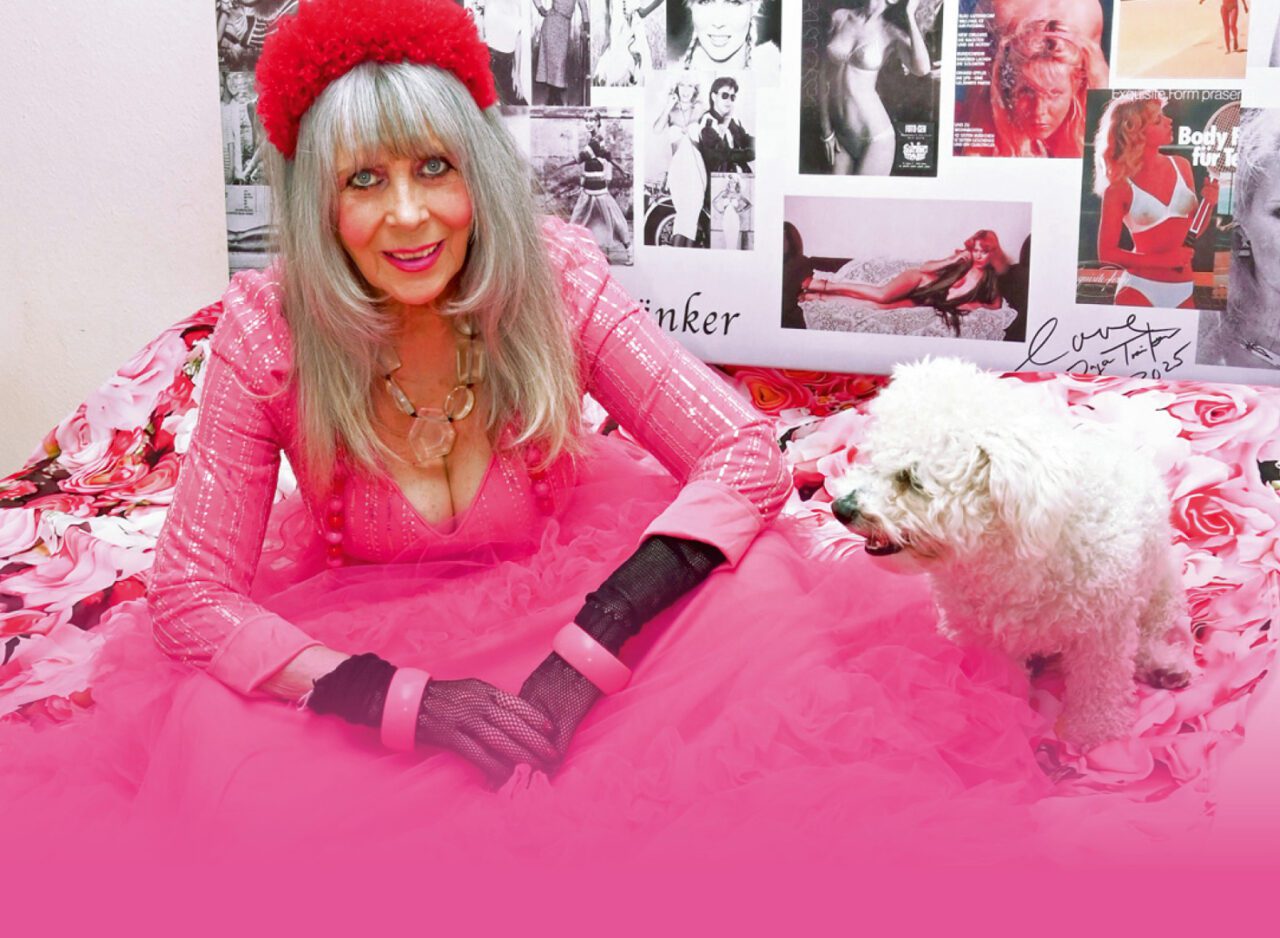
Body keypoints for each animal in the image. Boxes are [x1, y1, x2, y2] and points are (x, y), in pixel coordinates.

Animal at [829, 358, 1194, 749]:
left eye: (911, 479)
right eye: (870, 457)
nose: (840, 508)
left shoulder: (1103, 630)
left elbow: (1100, 683)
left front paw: (1092, 733)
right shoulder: (986, 638)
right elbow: (1002, 679)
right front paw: (1004, 718)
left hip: (1160, 590)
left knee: (1146, 638)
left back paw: (1164, 666)